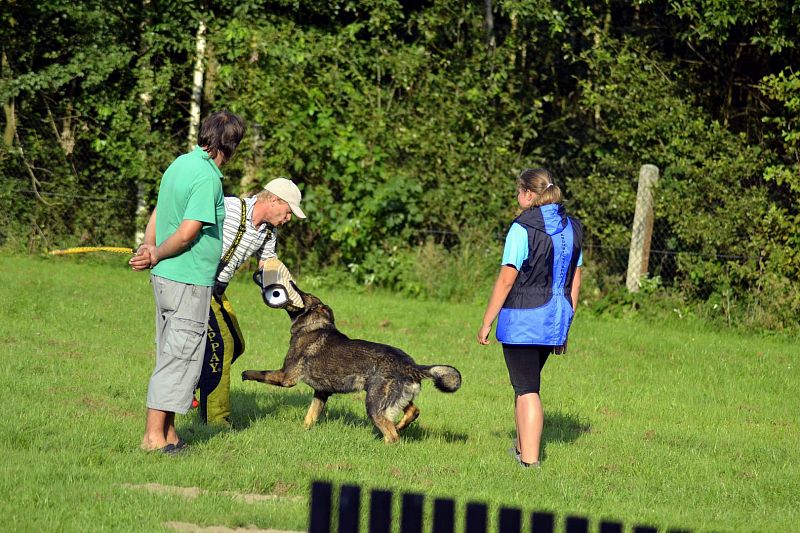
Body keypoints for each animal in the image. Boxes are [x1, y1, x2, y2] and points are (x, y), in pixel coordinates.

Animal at [241, 284, 460, 442]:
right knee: (412, 412)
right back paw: (399, 426)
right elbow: (309, 418)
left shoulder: (286, 377)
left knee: (392, 435)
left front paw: (245, 373)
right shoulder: (321, 393)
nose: (292, 284)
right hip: (393, 399)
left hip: (374, 404)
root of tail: (411, 366)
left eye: (304, 294)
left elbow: (260, 373)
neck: (314, 325)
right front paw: (302, 432)